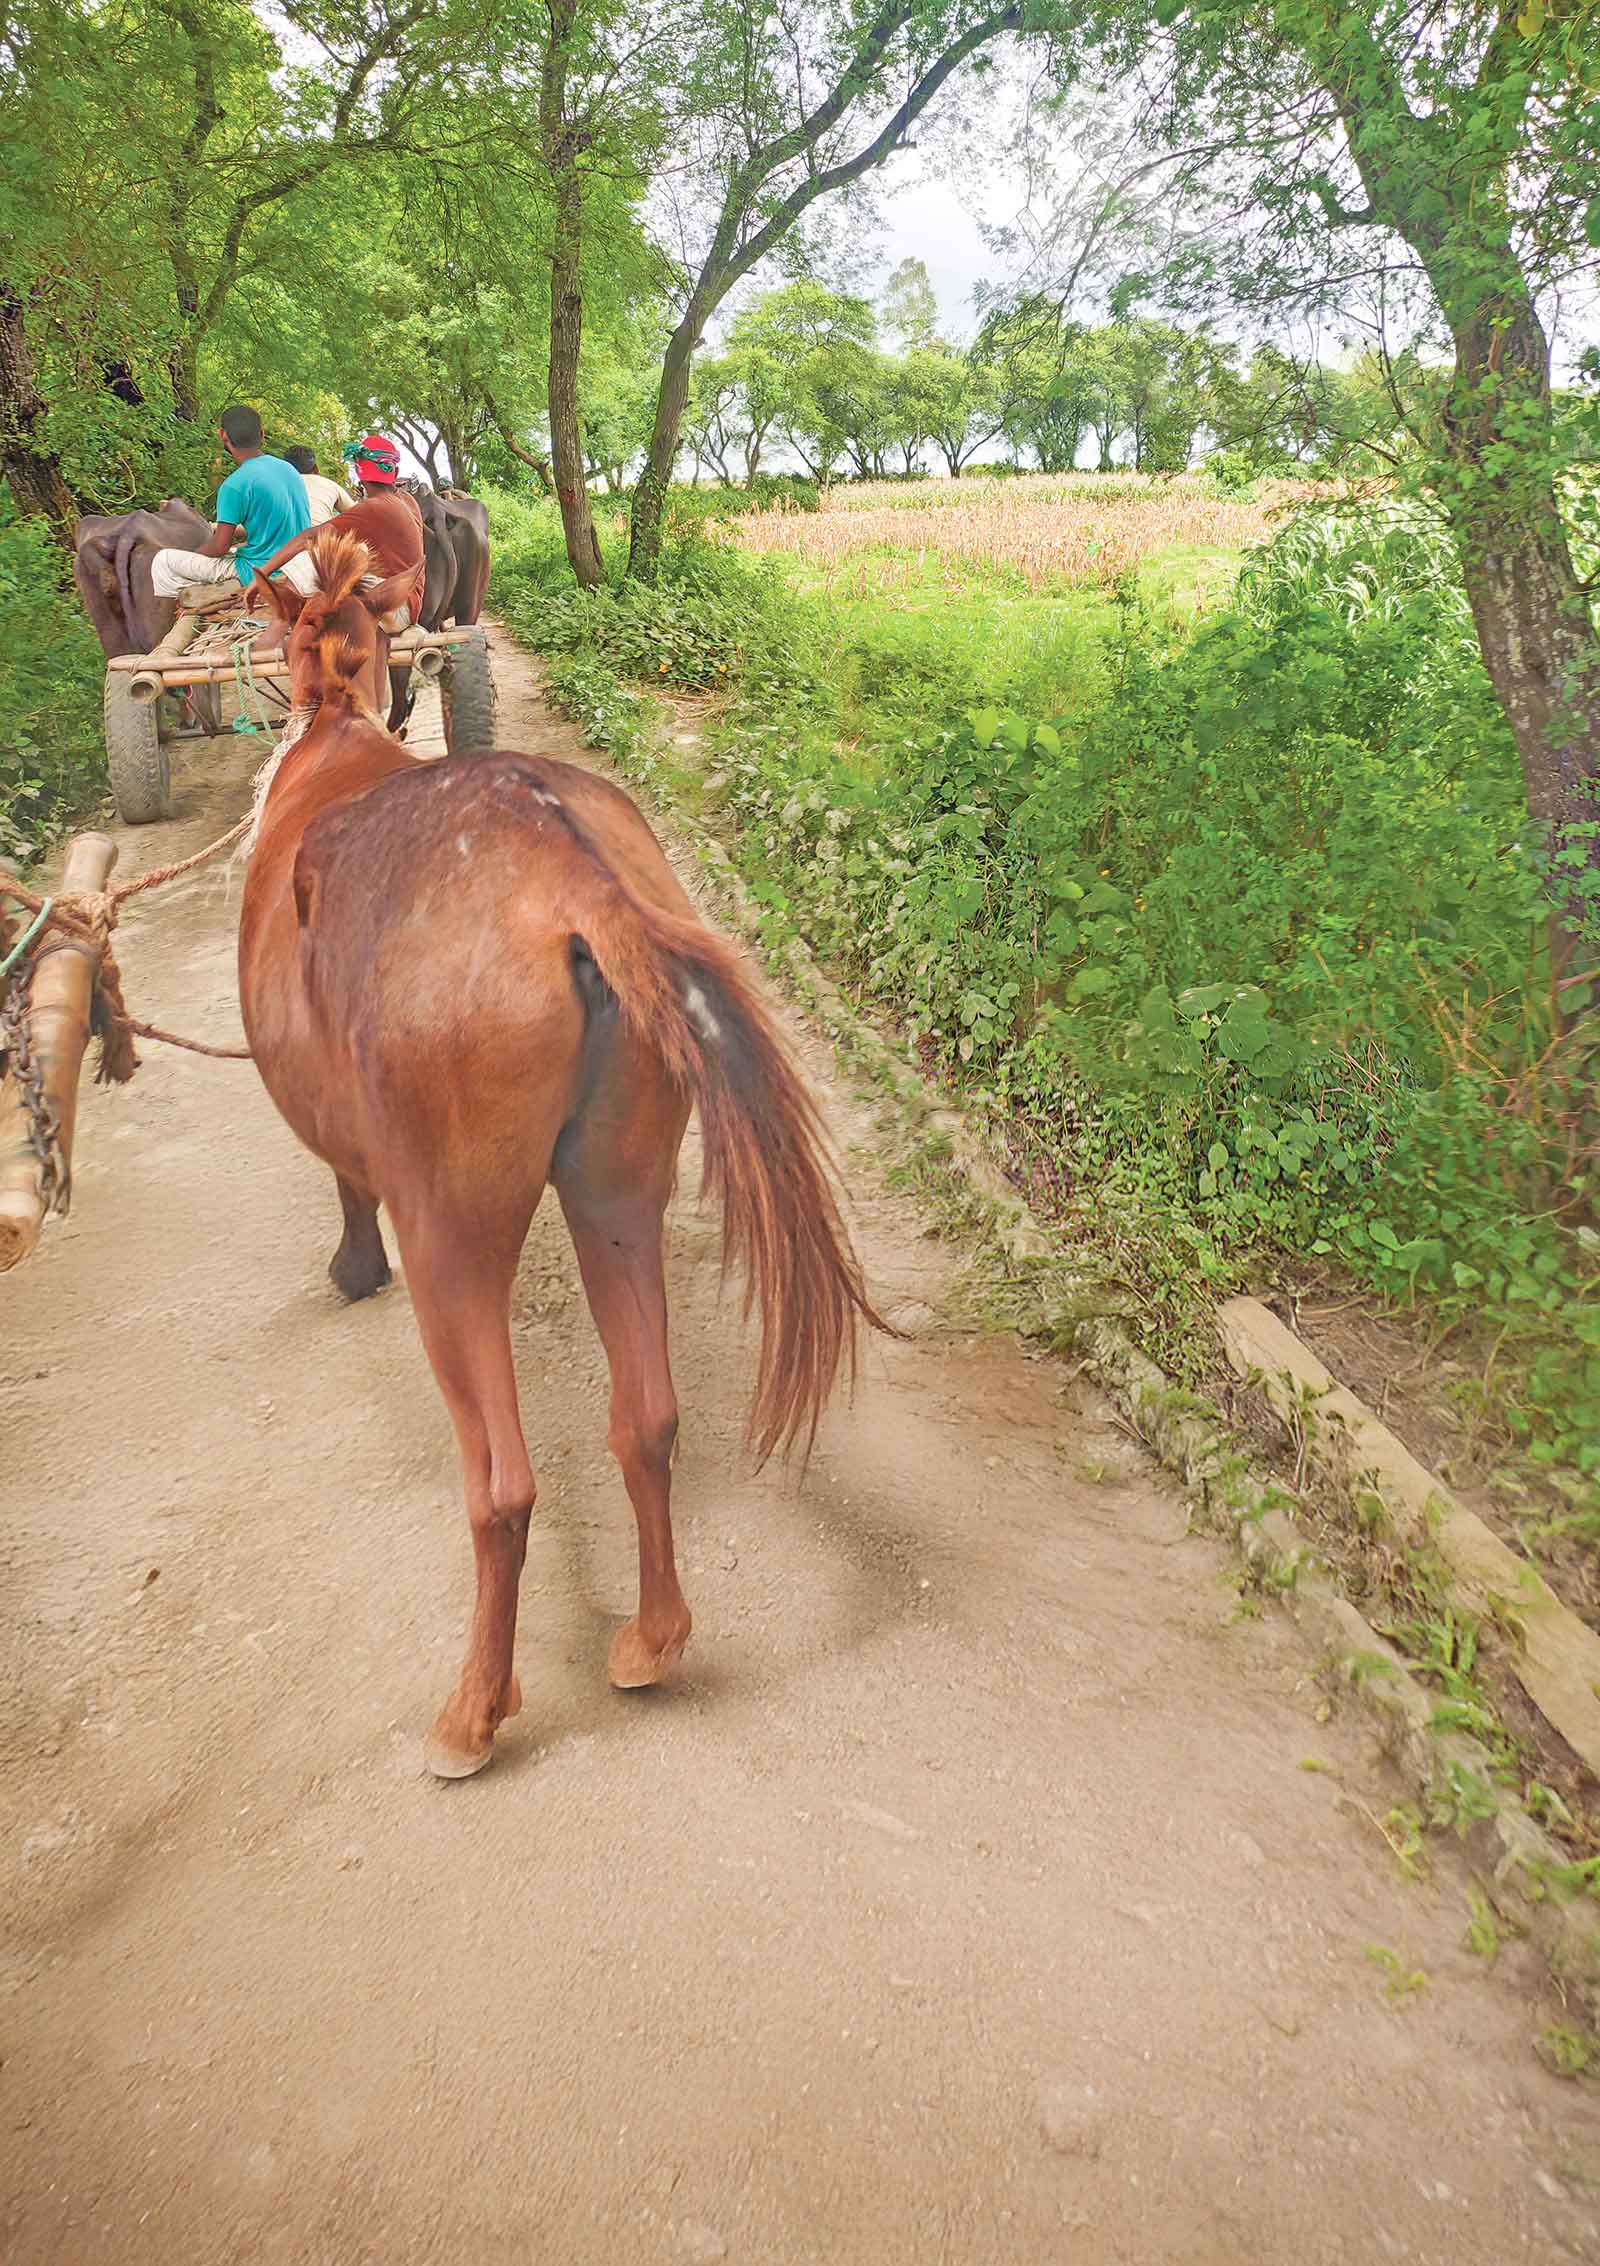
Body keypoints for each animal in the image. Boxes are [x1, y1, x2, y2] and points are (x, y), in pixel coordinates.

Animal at [238, 528, 884, 1778]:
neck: (336, 729)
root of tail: (565, 869)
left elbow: (344, 1180)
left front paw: (351, 1266)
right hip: (619, 1185)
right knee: (648, 1418)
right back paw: (653, 1636)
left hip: (454, 1234)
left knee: (500, 1485)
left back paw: (474, 1712)